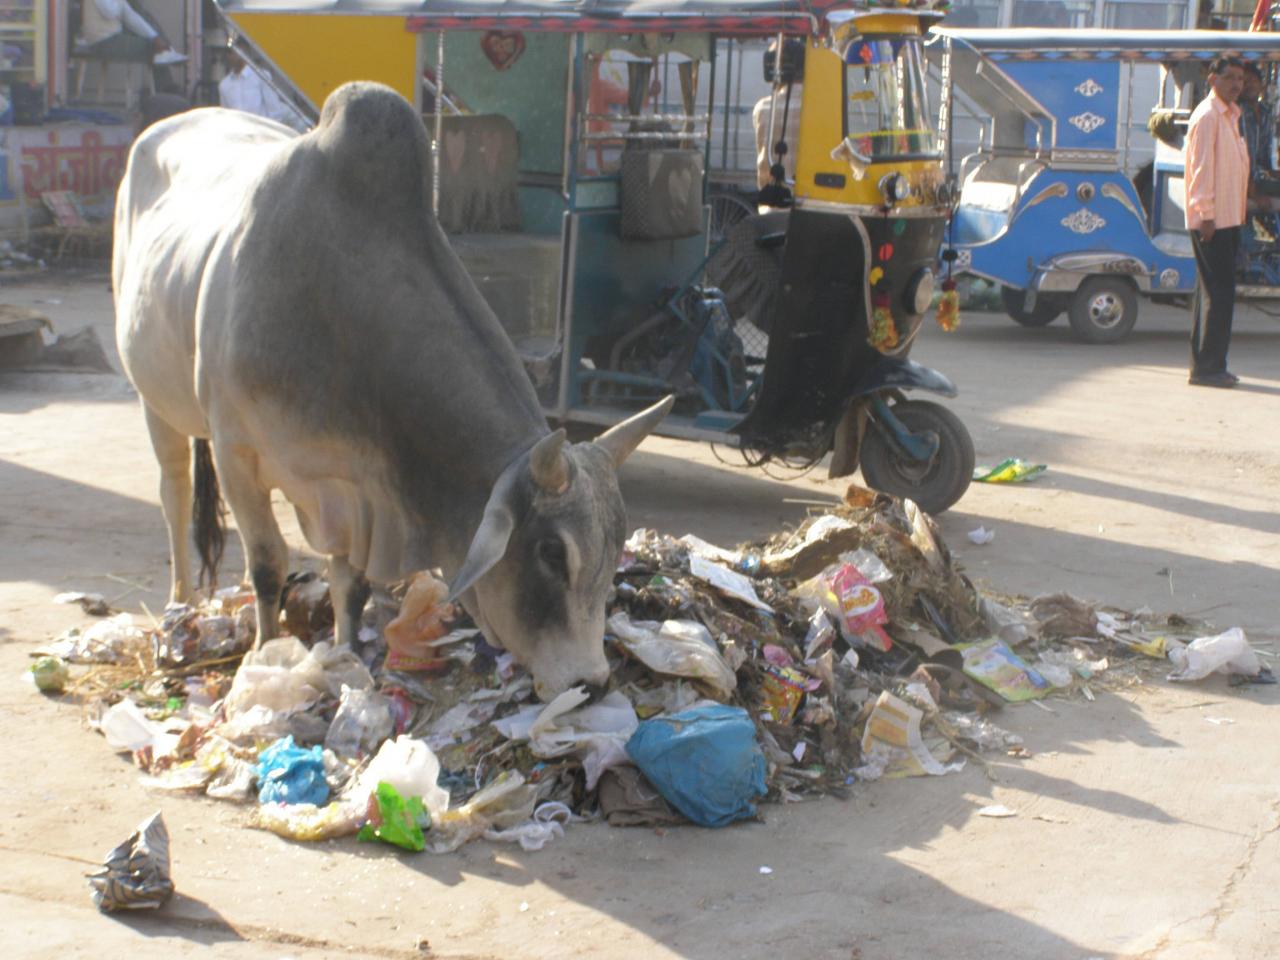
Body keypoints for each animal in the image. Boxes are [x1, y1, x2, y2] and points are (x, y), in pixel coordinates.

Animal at [111, 80, 675, 701]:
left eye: (617, 543)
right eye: (552, 552)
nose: (592, 682)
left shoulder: (360, 491)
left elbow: (348, 585)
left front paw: (347, 657)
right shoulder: (239, 454)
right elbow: (266, 564)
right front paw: (262, 656)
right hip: (154, 399)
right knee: (174, 492)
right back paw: (182, 602)